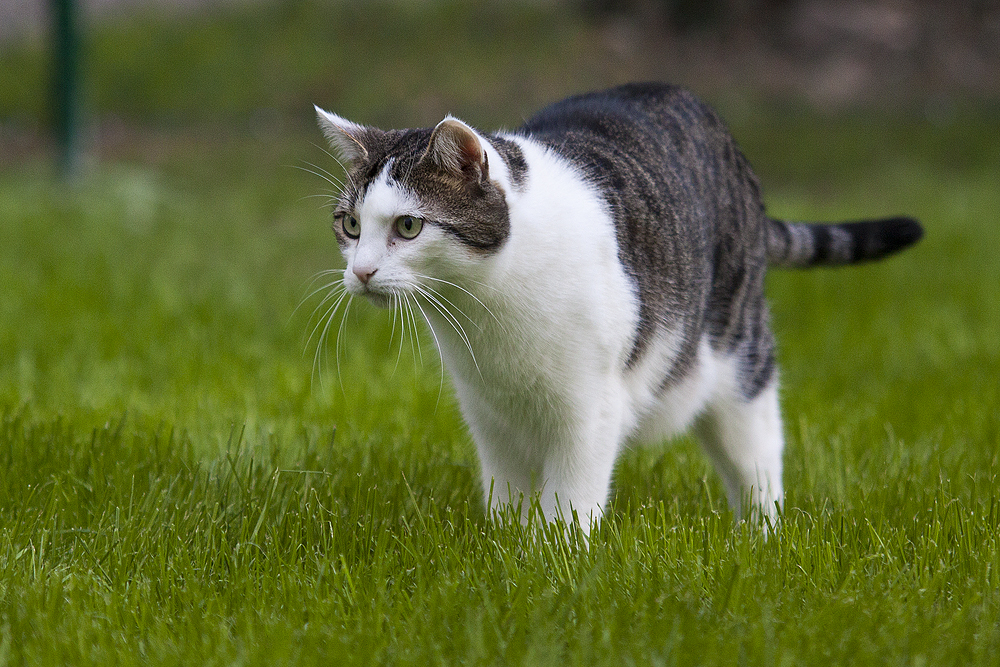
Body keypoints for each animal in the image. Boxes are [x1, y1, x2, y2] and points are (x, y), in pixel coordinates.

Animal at [312, 83, 920, 532]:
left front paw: (552, 566)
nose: (360, 272)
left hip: (737, 349)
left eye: (409, 226)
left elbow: (569, 503)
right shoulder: (489, 413)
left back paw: (763, 537)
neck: (485, 305)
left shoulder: (589, 408)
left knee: (757, 447)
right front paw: (507, 552)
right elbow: (507, 495)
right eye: (350, 225)